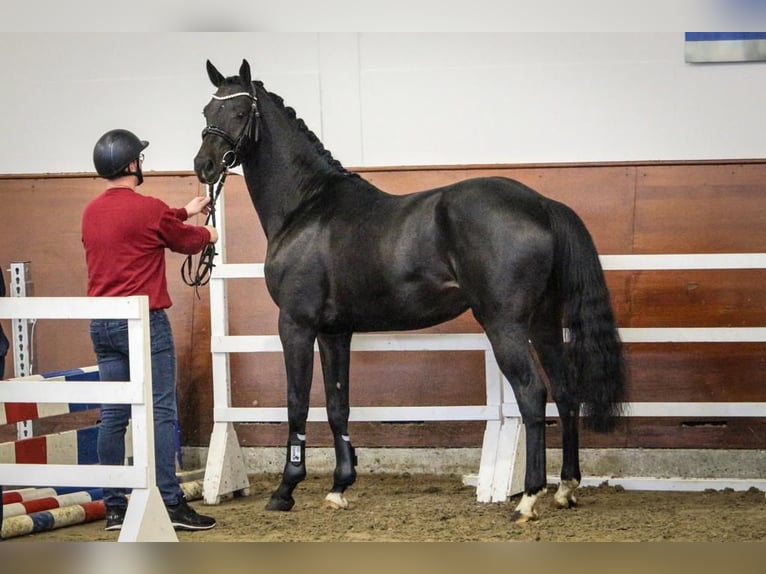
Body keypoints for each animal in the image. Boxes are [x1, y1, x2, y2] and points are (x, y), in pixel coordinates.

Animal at [195, 60, 628, 524]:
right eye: (207, 110)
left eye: (241, 112)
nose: (204, 165)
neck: (307, 207)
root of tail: (542, 204)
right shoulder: (334, 332)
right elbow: (337, 405)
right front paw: (339, 487)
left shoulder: (295, 325)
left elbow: (296, 403)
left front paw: (285, 490)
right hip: (542, 324)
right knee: (565, 393)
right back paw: (565, 488)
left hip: (505, 325)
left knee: (532, 395)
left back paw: (528, 499)